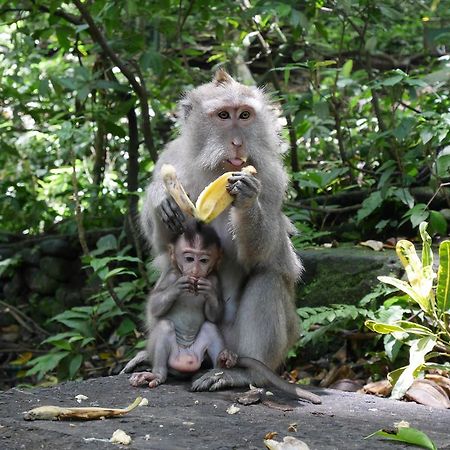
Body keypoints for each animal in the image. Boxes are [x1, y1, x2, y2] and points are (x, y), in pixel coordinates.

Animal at [123, 68, 302, 392]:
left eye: (244, 115)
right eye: (223, 115)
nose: (238, 143)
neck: (217, 168)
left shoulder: (271, 177)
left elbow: (263, 255)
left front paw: (247, 197)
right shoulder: (170, 157)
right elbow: (163, 244)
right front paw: (161, 197)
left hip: (239, 346)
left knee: (268, 279)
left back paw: (242, 375)